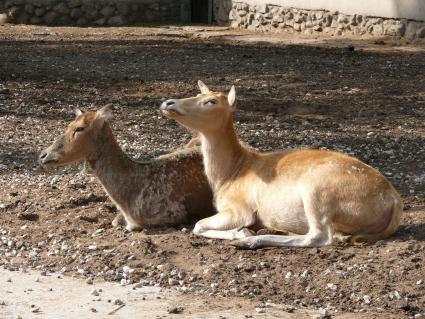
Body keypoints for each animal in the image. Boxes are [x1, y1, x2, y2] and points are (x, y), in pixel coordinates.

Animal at [158, 81, 400, 249]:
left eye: (211, 101)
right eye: (199, 93)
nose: (167, 103)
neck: (230, 175)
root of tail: (394, 200)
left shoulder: (240, 209)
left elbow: (198, 225)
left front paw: (242, 234)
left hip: (317, 192)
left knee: (319, 236)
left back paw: (251, 241)